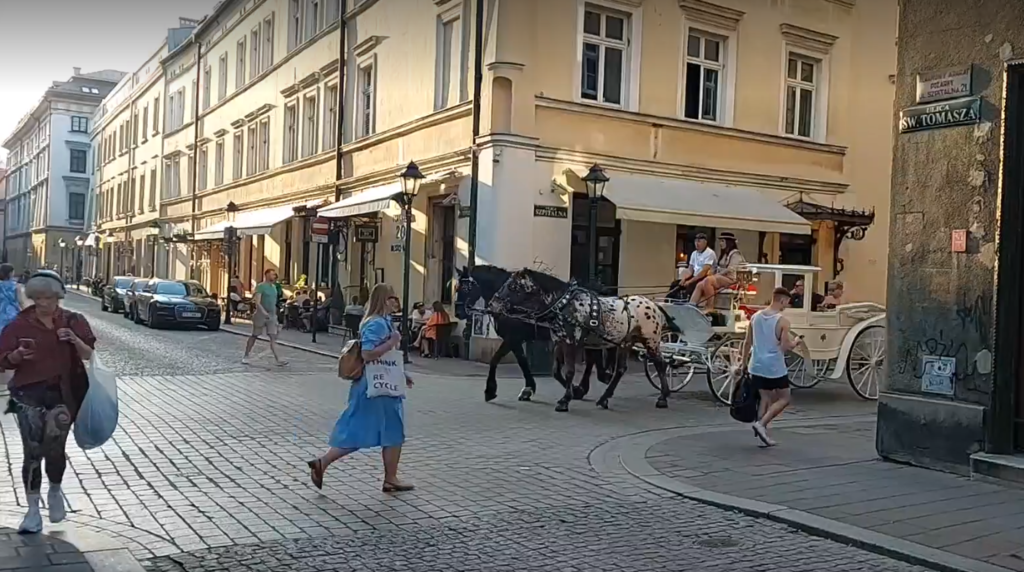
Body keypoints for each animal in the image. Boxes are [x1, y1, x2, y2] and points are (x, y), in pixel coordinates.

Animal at [489, 268, 679, 411]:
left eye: (513, 286)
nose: (493, 304)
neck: (565, 305)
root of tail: (654, 305)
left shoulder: (570, 343)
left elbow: (569, 371)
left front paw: (565, 400)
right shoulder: (559, 342)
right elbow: (556, 371)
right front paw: (573, 392)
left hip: (651, 341)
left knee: (660, 364)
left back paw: (663, 397)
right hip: (626, 342)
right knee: (620, 370)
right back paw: (604, 398)